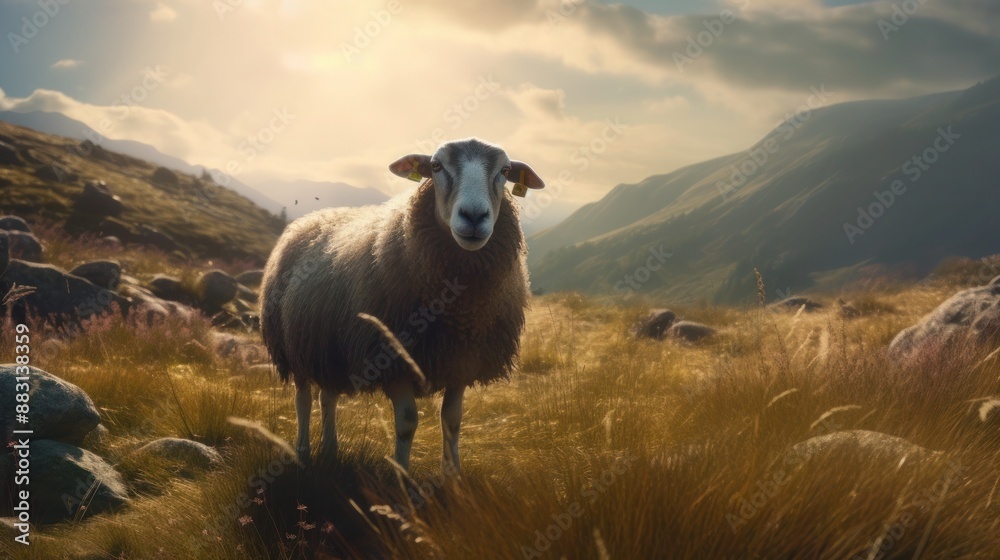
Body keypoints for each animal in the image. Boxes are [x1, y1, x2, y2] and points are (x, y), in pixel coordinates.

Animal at [260, 137, 545, 472]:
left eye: (506, 170)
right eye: (435, 166)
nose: (474, 217)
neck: (457, 310)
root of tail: (309, 219)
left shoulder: (461, 361)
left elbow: (453, 421)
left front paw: (452, 476)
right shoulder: (390, 358)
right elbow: (407, 422)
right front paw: (403, 475)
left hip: (328, 346)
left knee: (327, 397)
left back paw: (330, 450)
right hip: (294, 344)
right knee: (303, 399)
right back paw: (302, 452)